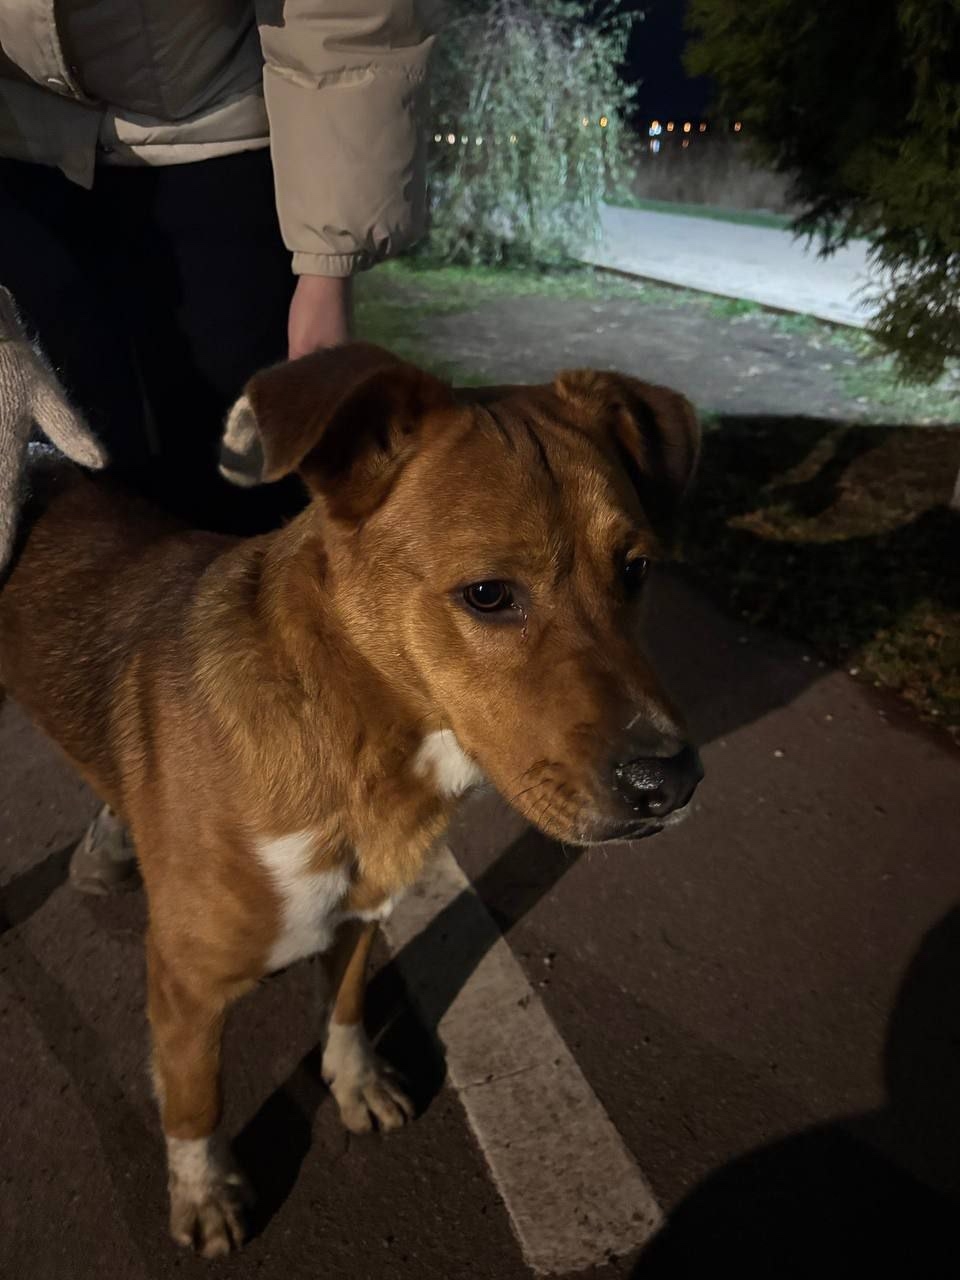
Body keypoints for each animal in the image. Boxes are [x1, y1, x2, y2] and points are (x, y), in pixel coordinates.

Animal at [0, 331, 703, 1257]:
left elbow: (345, 1005)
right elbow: (195, 1098)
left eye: (639, 569)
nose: (673, 782)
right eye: (488, 594)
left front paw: (354, 1081)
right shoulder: (184, 982)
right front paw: (206, 1190)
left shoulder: (363, 910)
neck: (364, 750)